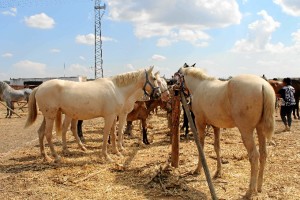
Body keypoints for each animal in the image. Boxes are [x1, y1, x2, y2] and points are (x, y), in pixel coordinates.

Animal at [25, 66, 162, 163]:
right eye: (155, 79)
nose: (158, 94)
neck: (117, 89)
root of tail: (39, 87)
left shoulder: (114, 117)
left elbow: (113, 133)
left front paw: (116, 151)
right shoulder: (110, 116)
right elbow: (107, 134)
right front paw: (106, 156)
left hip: (48, 116)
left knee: (41, 133)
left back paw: (46, 157)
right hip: (51, 116)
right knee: (48, 134)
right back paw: (56, 156)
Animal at [175, 63, 276, 198]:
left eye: (176, 75)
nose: (172, 88)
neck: (199, 86)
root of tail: (263, 85)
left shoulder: (200, 123)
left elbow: (201, 147)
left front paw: (197, 170)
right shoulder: (215, 126)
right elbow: (217, 147)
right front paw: (218, 172)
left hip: (246, 131)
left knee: (254, 156)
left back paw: (250, 191)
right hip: (260, 129)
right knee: (263, 154)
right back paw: (259, 188)